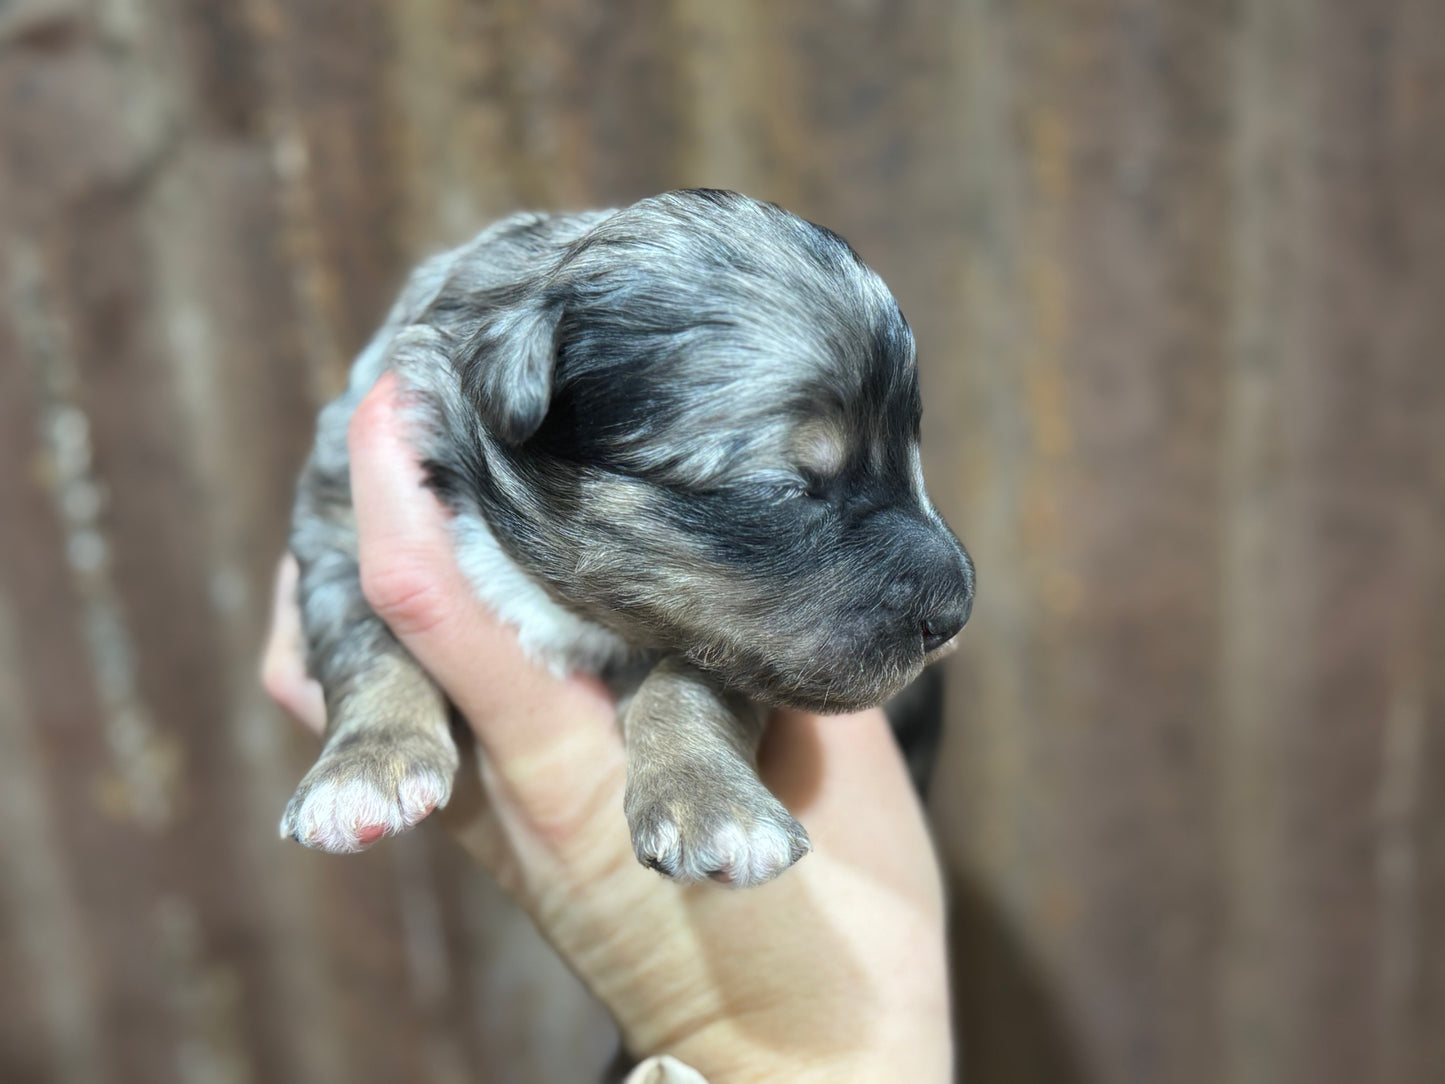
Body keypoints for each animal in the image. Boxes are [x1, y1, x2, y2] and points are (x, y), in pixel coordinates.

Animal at [284, 190, 971, 890]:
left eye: (913, 453)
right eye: (785, 487)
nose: (957, 613)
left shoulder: (731, 647)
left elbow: (685, 684)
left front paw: (710, 800)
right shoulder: (334, 529)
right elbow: (365, 642)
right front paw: (364, 768)